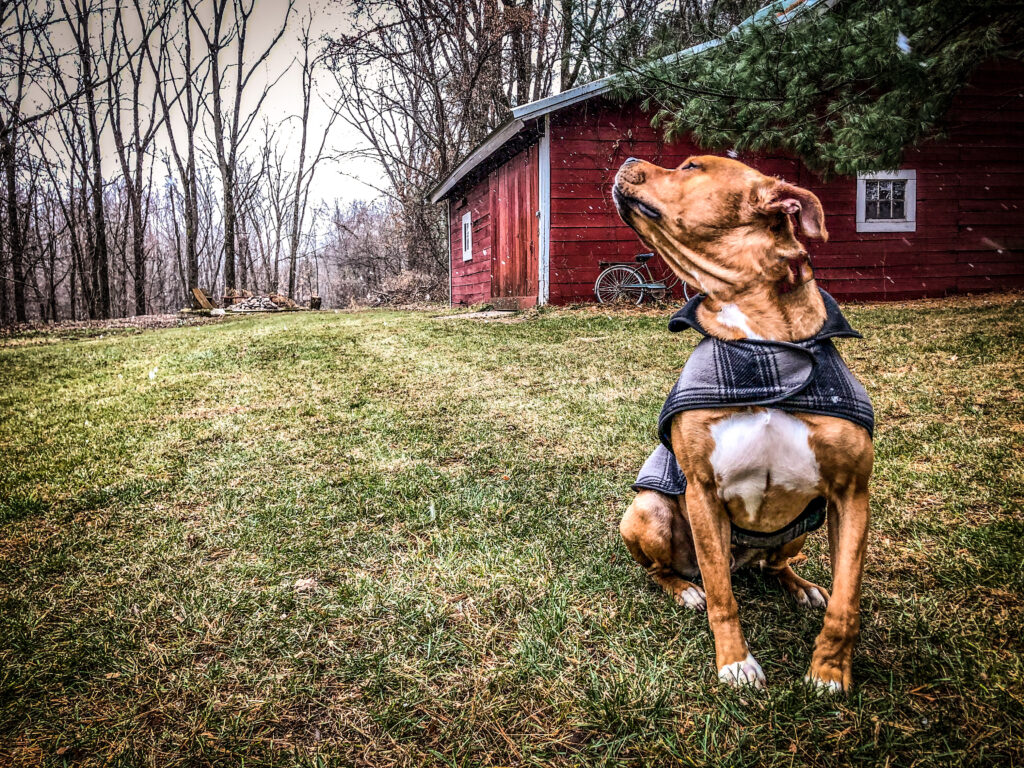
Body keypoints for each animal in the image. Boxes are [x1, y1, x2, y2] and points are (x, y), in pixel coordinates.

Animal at [610, 154, 876, 692]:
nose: (626, 158)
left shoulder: (851, 493)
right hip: (648, 510)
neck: (763, 343)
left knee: (777, 565)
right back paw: (684, 590)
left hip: (802, 527)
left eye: (691, 165)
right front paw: (734, 662)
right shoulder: (702, 490)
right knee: (666, 572)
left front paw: (829, 670)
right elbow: (721, 595)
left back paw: (800, 585)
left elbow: (846, 600)